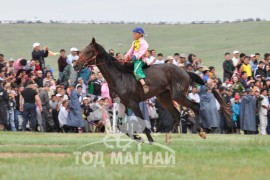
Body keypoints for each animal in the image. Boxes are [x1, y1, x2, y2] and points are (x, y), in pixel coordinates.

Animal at [74, 38, 230, 143]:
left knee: (195, 107)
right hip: (164, 97)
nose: (75, 65)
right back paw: (168, 135)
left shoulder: (133, 103)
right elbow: (119, 123)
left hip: (178, 95)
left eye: (88, 51)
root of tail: (185, 71)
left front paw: (148, 139)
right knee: (176, 114)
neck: (119, 77)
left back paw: (201, 132)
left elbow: (141, 121)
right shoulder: (122, 103)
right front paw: (136, 136)